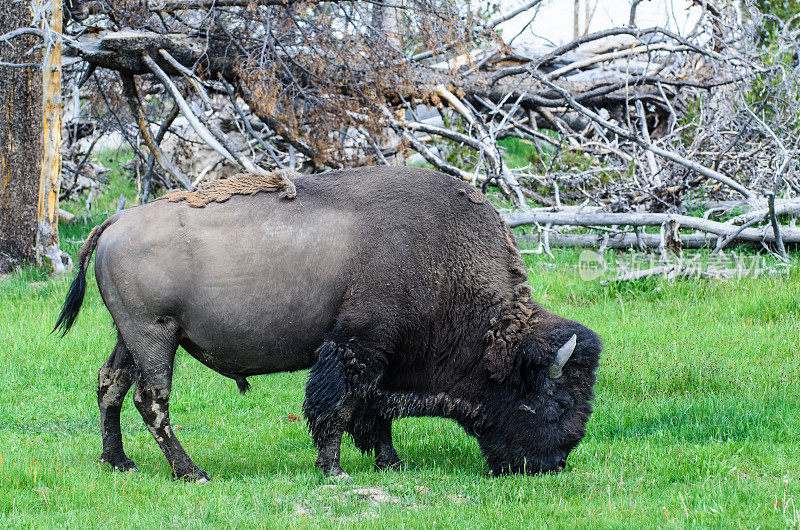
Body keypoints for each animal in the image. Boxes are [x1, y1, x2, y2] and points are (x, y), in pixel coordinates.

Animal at [54, 165, 600, 478]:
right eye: (560, 400)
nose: (555, 464)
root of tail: (115, 221)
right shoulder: (357, 349)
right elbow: (336, 408)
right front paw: (335, 469)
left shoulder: (383, 362)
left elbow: (373, 413)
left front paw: (389, 462)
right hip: (154, 336)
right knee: (152, 401)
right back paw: (192, 471)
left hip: (129, 337)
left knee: (110, 384)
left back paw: (118, 462)